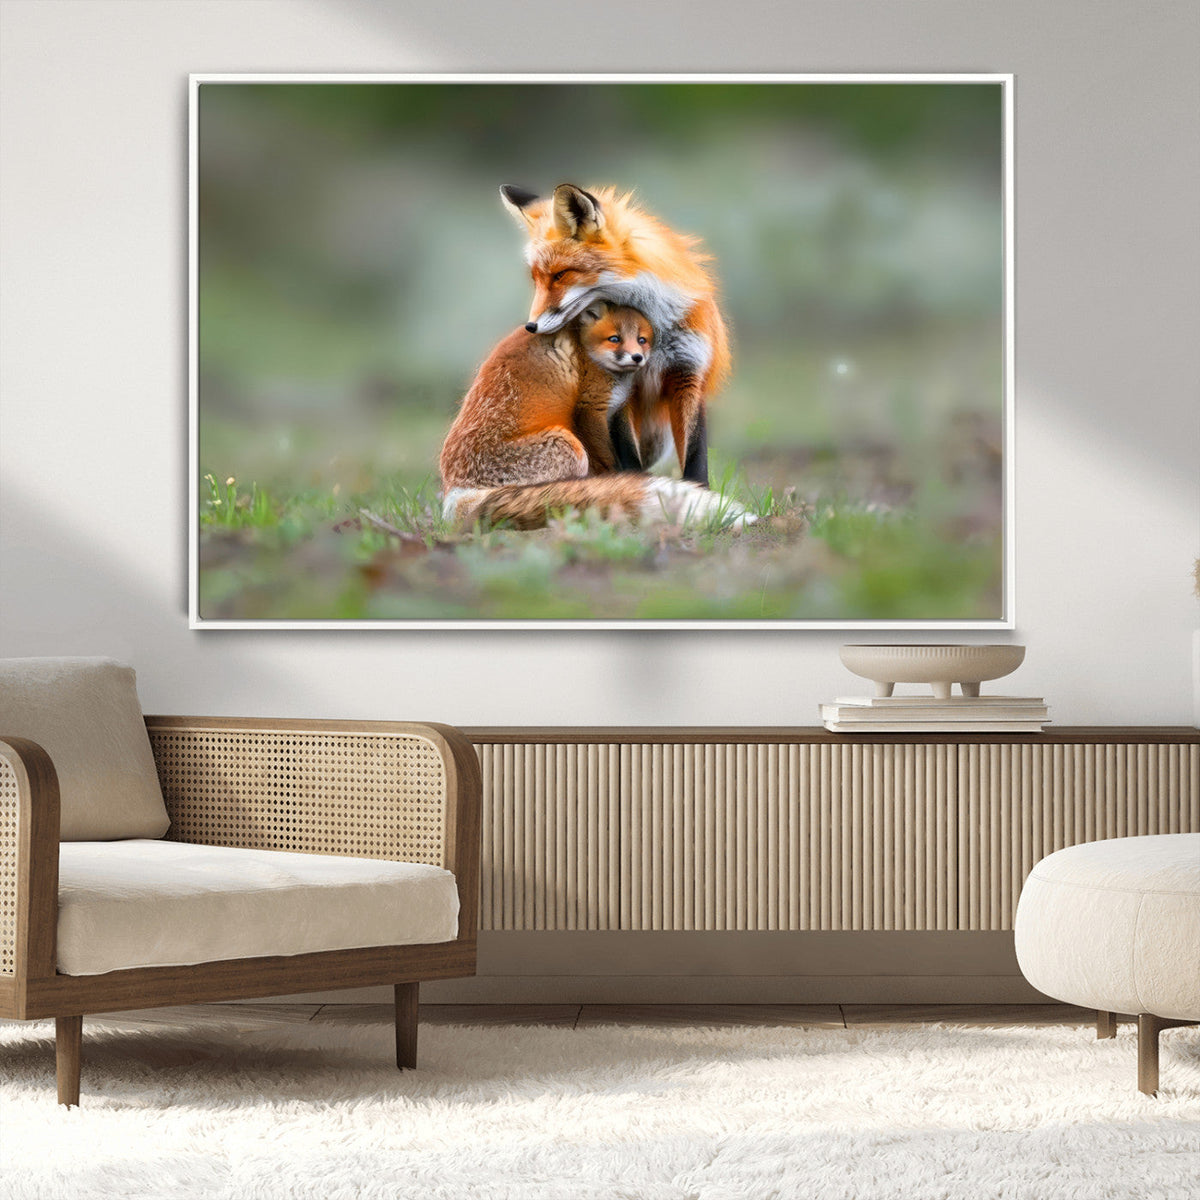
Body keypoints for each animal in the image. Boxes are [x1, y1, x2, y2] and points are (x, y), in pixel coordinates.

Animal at [440, 302, 745, 531]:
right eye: (615, 339)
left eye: (642, 340)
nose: (637, 357)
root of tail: (455, 491)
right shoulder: (590, 409)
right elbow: (610, 460)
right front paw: (621, 483)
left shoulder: (618, 411)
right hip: (569, 446)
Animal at [499, 182, 731, 488]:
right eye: (535, 279)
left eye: (560, 275)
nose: (531, 326)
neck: (654, 329)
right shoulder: (620, 388)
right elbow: (627, 455)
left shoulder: (688, 374)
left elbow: (695, 457)